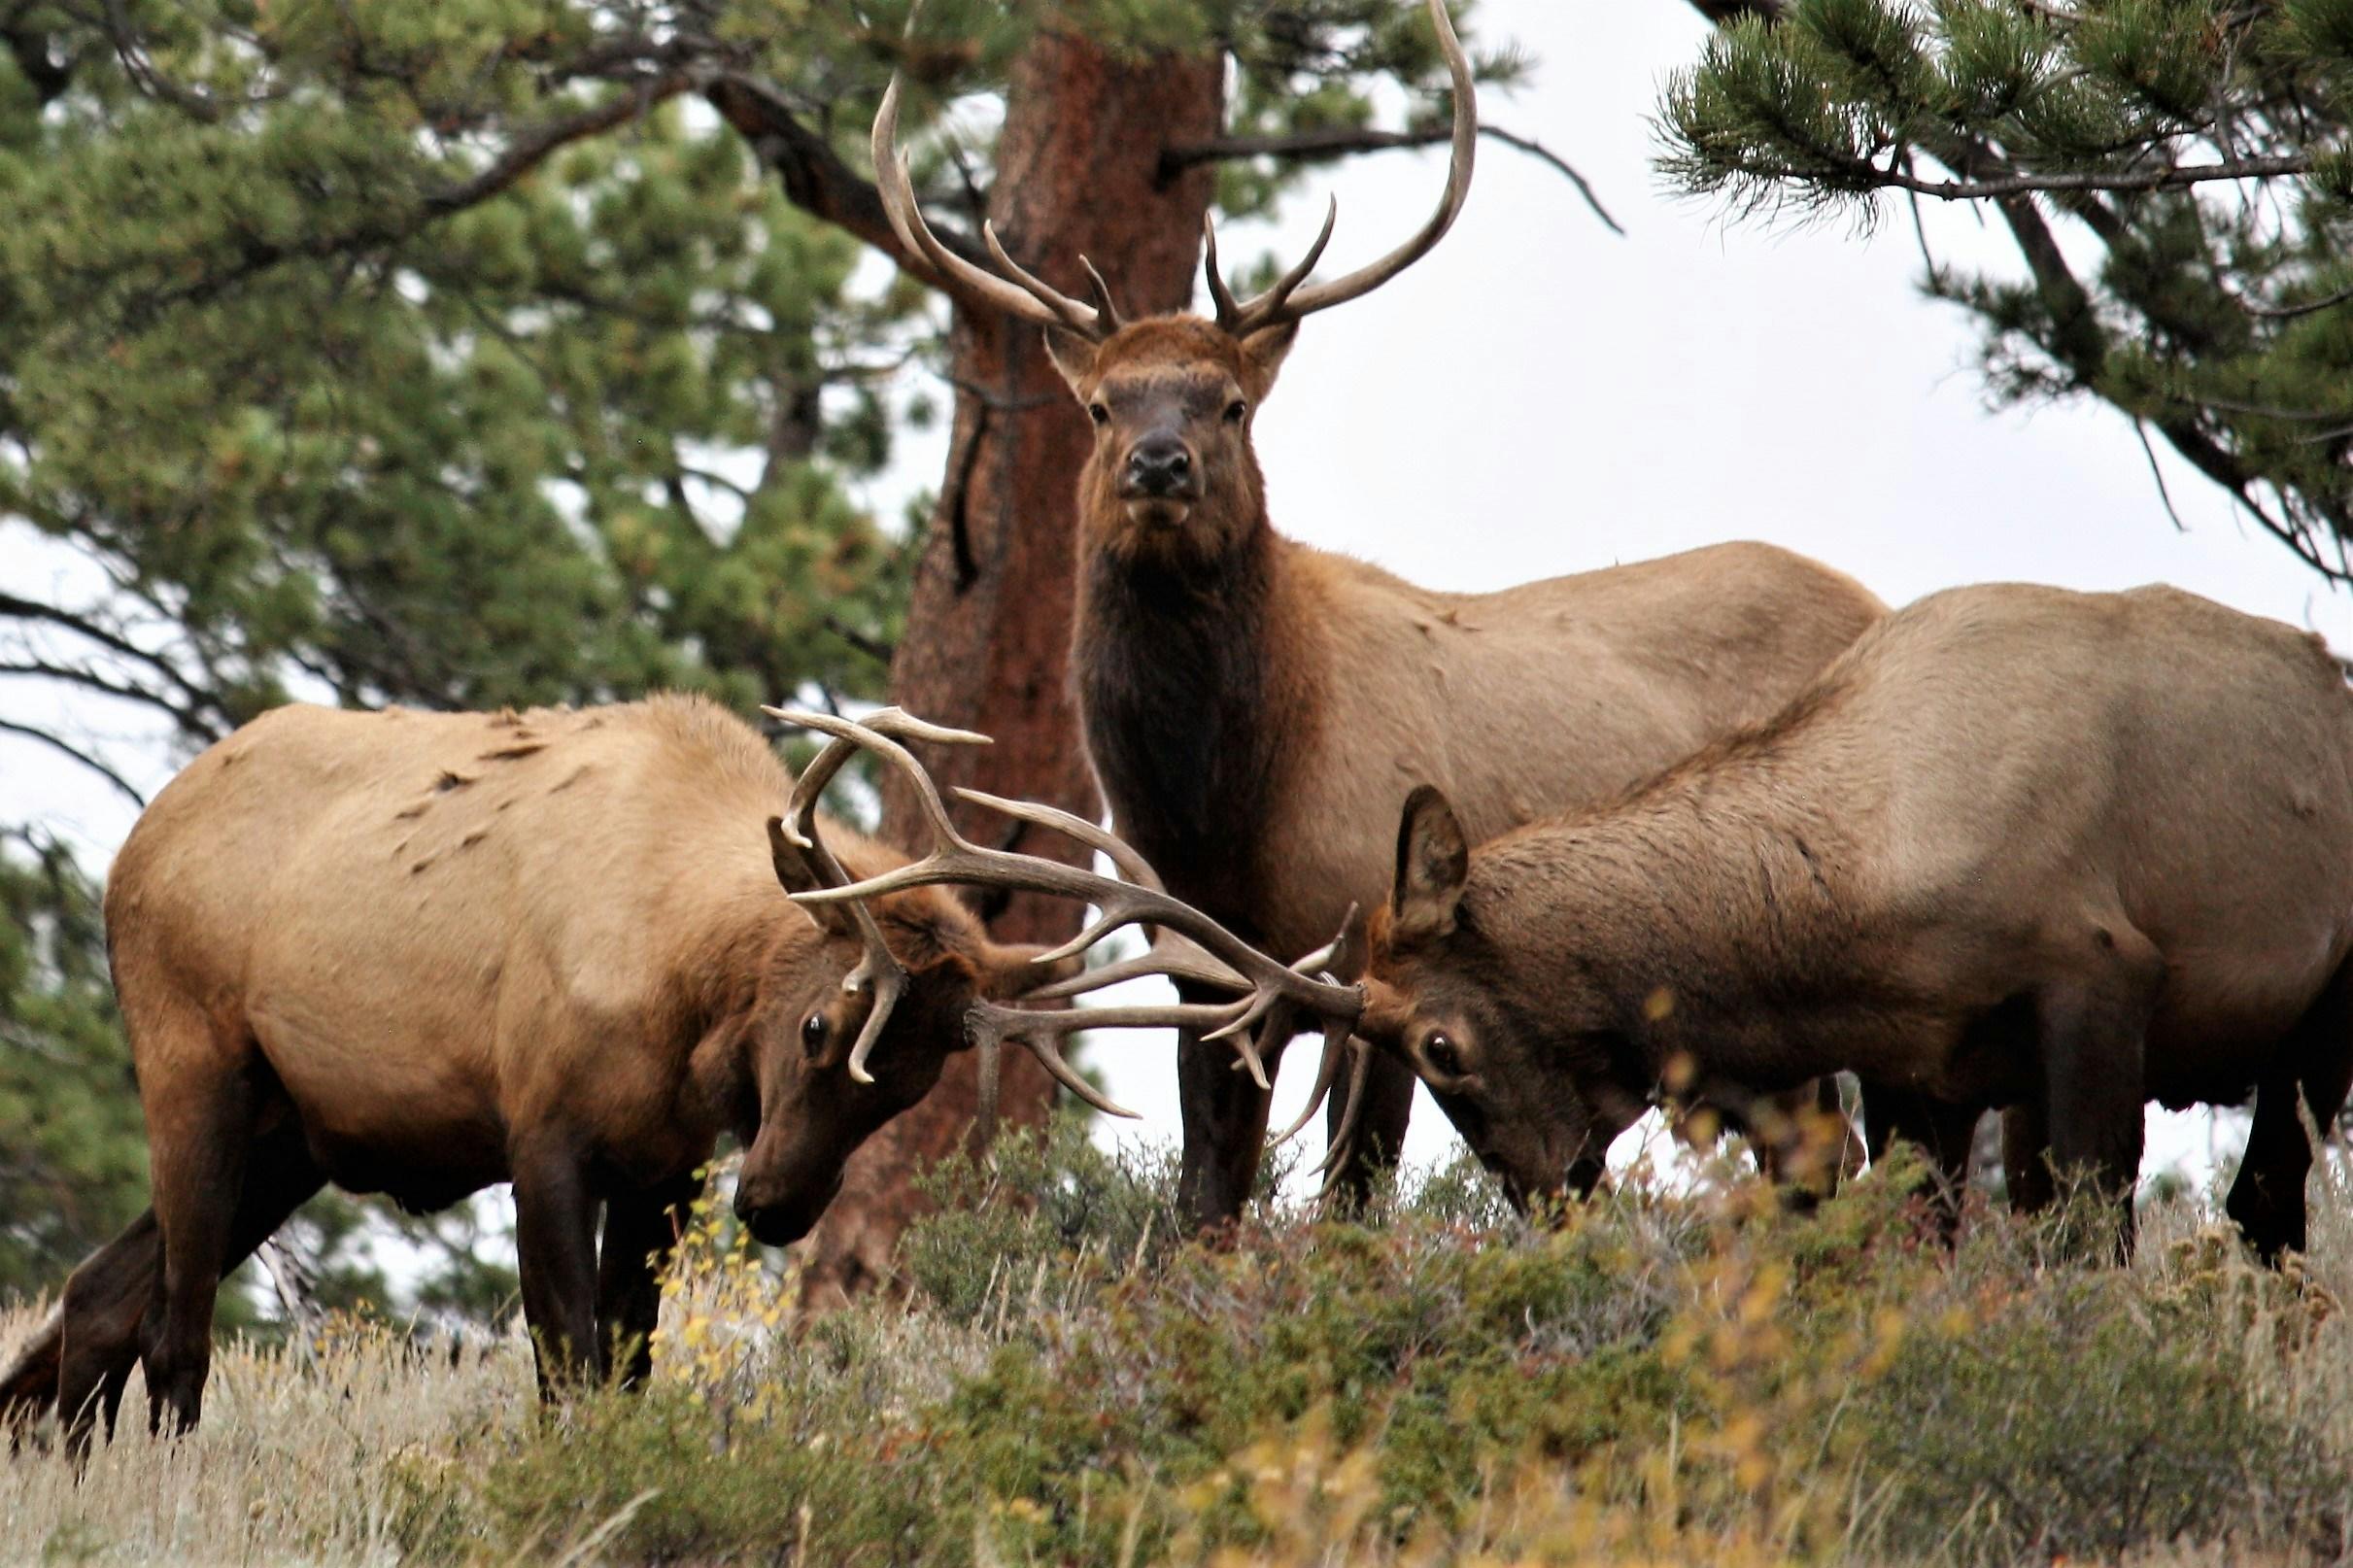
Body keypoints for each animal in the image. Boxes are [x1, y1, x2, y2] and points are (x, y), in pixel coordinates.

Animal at [0, 695, 1091, 1444]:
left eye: (912, 1086)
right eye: (819, 1025)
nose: (776, 1206)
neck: (679, 983)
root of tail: (135, 842)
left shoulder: (666, 1165)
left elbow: (627, 1366)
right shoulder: (542, 1134)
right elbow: (568, 1364)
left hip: (295, 1132)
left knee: (98, 1292)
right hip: (193, 1058)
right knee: (174, 1331)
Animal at [870, 0, 1887, 1227]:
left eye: (1231, 402)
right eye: (1102, 404)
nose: (1158, 466)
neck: (1220, 809)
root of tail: (1876, 598)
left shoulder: (1369, 946)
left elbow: (1351, 1194)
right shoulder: (1200, 966)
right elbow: (1206, 1198)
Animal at [1286, 582, 2353, 1261]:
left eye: (1440, 1044)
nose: (1548, 1200)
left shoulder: (2102, 976)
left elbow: (2090, 1233)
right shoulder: (1920, 1069)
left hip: (2321, 1016)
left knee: (2264, 1201)